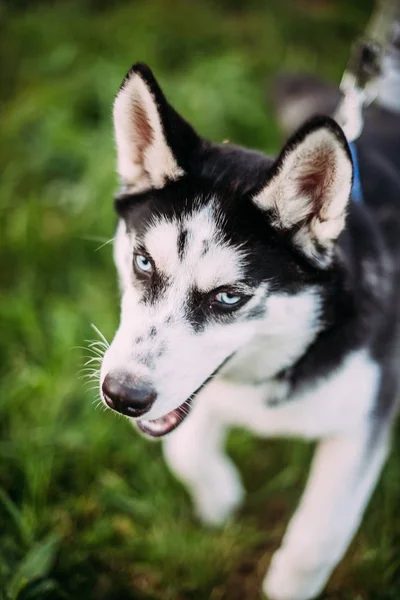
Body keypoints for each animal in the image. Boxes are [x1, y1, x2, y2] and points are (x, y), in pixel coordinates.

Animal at [99, 58, 400, 596]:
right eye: (143, 262)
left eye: (229, 297)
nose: (122, 395)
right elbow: (184, 450)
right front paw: (219, 497)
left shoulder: (366, 416)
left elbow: (317, 537)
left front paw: (287, 587)